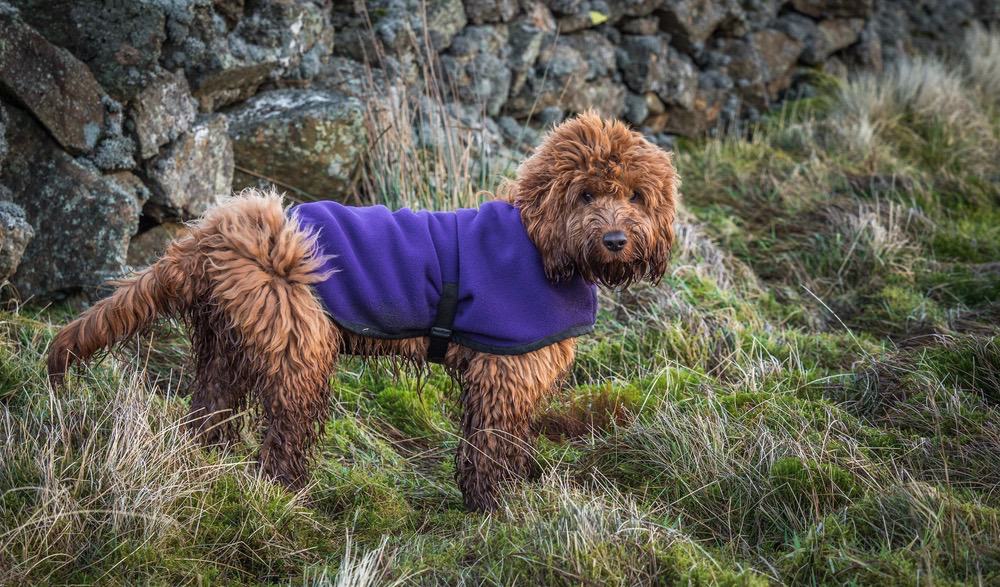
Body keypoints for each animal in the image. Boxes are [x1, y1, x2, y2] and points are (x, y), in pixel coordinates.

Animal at [43, 112, 676, 512]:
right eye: (586, 194)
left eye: (635, 195)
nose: (617, 240)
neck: (540, 244)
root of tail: (212, 233)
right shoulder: (503, 373)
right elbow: (491, 447)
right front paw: (495, 507)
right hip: (296, 336)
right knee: (284, 431)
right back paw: (283, 493)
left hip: (230, 342)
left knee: (211, 409)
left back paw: (211, 464)